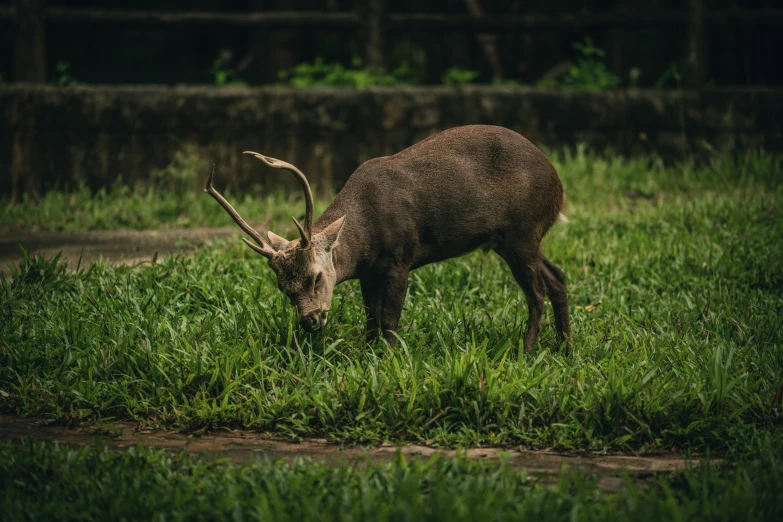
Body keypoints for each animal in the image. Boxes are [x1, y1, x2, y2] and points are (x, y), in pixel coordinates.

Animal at [205, 123, 572, 350]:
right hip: (515, 239)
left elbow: (390, 319)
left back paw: (527, 349)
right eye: (283, 288)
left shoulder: (400, 258)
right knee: (557, 276)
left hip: (521, 230)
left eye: (316, 277)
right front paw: (368, 353)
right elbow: (371, 318)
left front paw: (390, 359)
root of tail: (558, 186)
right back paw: (564, 346)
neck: (365, 235)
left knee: (536, 291)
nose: (309, 322)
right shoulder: (368, 272)